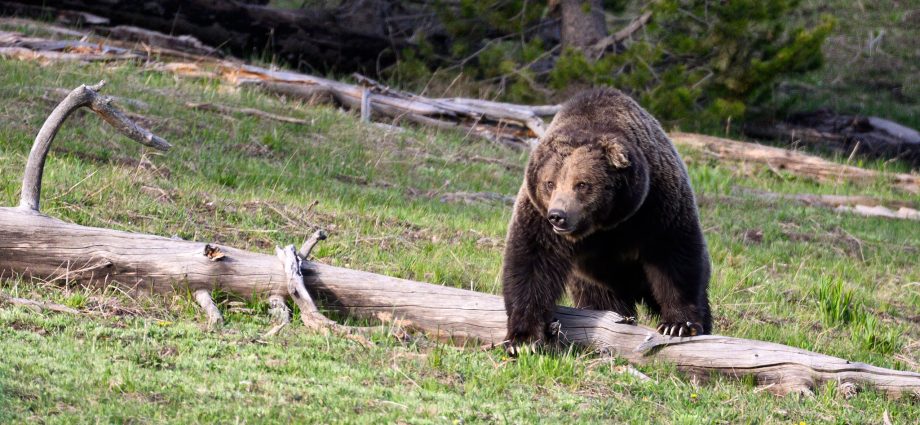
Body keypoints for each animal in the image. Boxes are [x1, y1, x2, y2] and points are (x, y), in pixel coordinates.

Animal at [501, 88, 712, 350]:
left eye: (582, 184)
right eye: (549, 183)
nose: (558, 216)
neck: (605, 224)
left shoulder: (656, 206)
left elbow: (673, 257)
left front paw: (679, 324)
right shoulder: (539, 218)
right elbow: (532, 262)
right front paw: (523, 338)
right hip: (592, 281)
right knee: (602, 299)